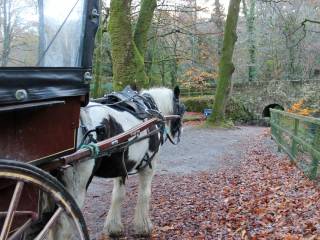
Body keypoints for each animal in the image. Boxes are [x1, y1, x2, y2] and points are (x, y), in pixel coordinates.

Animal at [54, 85, 185, 238]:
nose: (180, 131)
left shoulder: (121, 166)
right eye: (182, 109)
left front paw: (114, 227)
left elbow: (118, 195)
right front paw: (143, 227)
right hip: (77, 186)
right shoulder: (149, 166)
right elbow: (145, 194)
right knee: (63, 224)